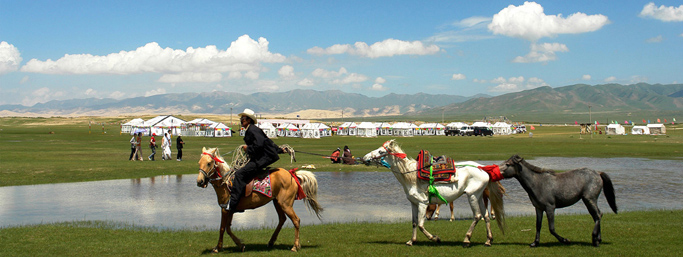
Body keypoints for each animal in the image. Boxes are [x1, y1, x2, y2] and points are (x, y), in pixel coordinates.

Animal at [196, 147, 324, 251]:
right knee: (282, 219)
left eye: (209, 163)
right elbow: (227, 228)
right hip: (277, 202)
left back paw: (295, 246)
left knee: (296, 220)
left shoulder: (225, 209)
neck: (225, 183)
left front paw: (217, 248)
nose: (200, 182)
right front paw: (240, 245)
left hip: (285, 204)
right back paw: (271, 242)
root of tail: (292, 174)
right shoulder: (230, 210)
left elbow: (222, 228)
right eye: (199, 163)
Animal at [366, 140, 504, 246]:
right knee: (486, 216)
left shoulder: (423, 203)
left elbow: (421, 225)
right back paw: (488, 240)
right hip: (479, 195)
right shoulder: (414, 203)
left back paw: (466, 240)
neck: (411, 176)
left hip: (472, 196)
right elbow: (414, 222)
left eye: (381, 152)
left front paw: (435, 238)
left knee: (477, 216)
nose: (365, 158)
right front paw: (411, 241)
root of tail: (482, 168)